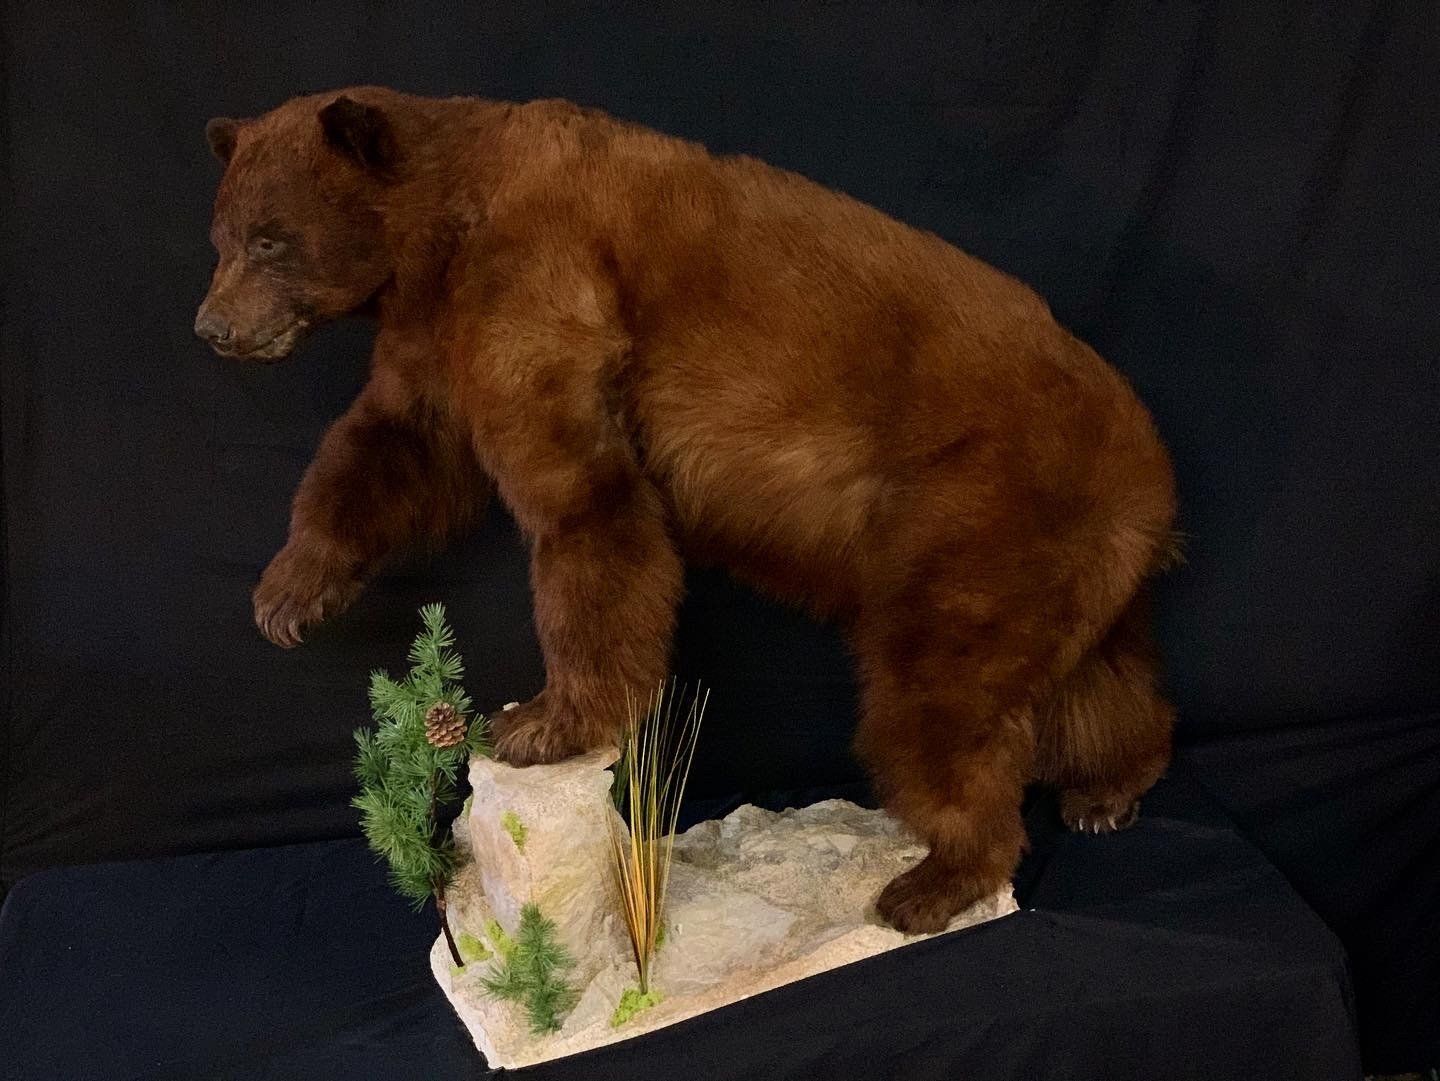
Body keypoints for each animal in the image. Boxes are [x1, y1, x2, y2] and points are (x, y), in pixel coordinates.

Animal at [196, 87, 1177, 934]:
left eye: (270, 240)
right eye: (221, 235)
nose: (211, 326)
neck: (444, 226)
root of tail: (1149, 473)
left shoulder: (536, 282)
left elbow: (584, 502)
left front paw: (541, 721)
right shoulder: (434, 338)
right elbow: (393, 447)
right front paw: (288, 594)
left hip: (980, 513)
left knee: (940, 691)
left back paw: (936, 880)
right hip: (1070, 556)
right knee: (1094, 680)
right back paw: (1108, 790)